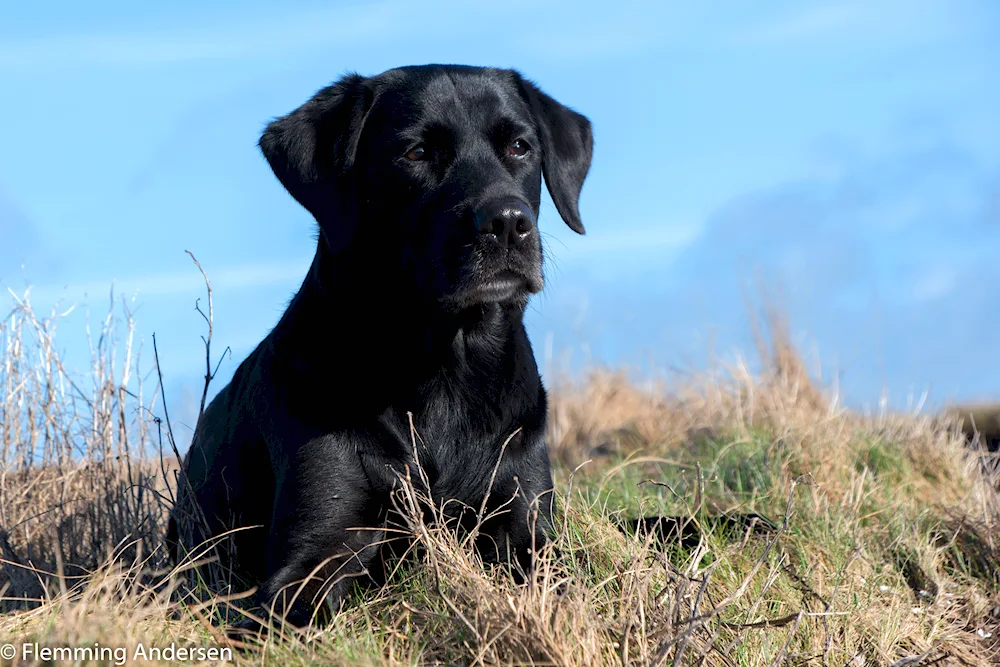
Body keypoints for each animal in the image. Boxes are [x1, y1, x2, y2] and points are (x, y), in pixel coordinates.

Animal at [166, 65, 592, 636]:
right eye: (416, 153)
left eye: (519, 146)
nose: (507, 222)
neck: (443, 370)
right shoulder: (315, 554)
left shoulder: (526, 529)